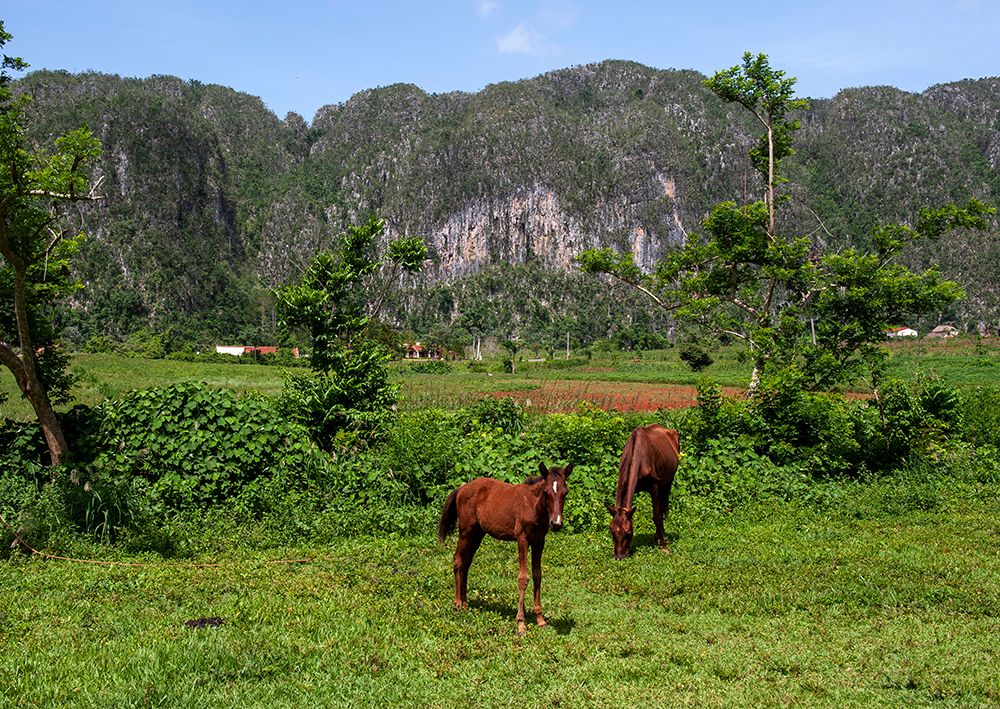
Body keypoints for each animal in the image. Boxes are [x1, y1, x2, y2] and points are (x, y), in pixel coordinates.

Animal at [438, 462, 573, 636]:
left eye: (565, 492)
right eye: (546, 492)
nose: (556, 524)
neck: (531, 504)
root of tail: (462, 487)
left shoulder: (539, 541)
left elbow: (537, 575)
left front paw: (540, 619)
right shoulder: (522, 539)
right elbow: (523, 578)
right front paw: (521, 624)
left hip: (478, 533)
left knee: (466, 563)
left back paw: (466, 604)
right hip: (466, 530)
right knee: (458, 560)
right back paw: (458, 603)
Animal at [606, 424, 679, 559]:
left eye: (628, 532)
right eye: (611, 531)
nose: (619, 556)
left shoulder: (654, 486)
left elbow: (657, 516)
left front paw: (664, 546)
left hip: (668, 481)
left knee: (662, 508)